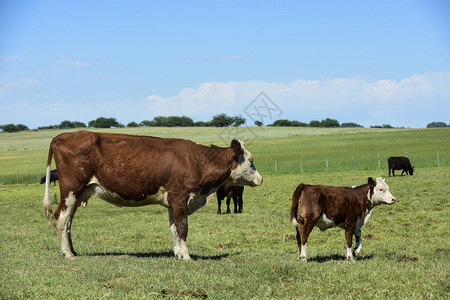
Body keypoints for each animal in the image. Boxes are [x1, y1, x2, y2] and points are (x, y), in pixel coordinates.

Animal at [43, 131, 262, 260]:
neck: (199, 161)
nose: (260, 179)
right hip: (71, 190)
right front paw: (187, 256)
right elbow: (183, 228)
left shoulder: (173, 201)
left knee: (68, 222)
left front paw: (178, 254)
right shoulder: (180, 197)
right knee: (62, 219)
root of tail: (64, 135)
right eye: (251, 160)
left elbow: (174, 228)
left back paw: (73, 251)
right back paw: (68, 254)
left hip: (78, 194)